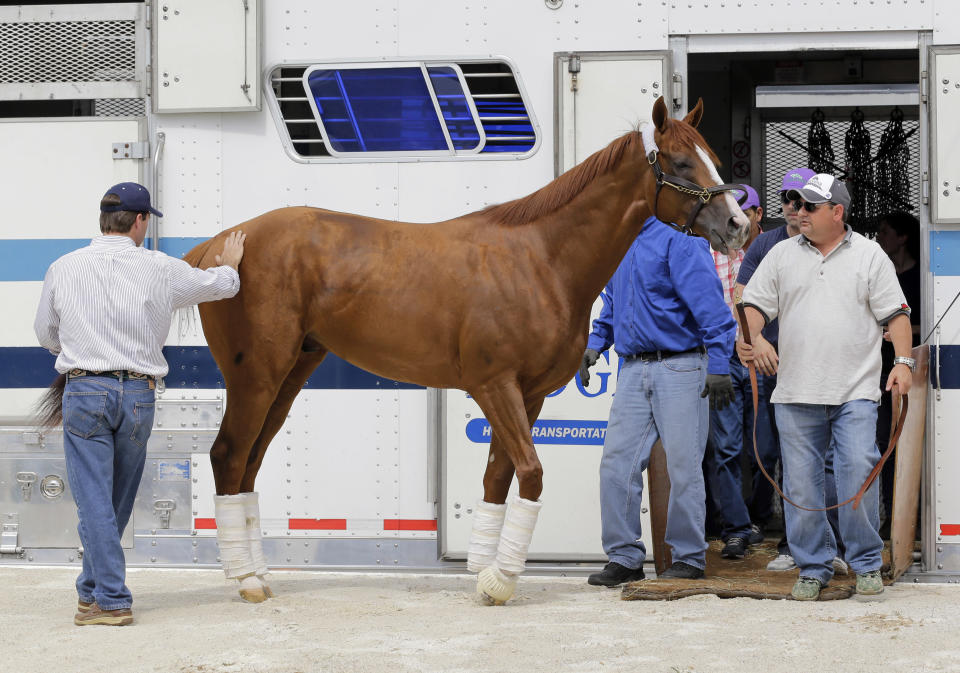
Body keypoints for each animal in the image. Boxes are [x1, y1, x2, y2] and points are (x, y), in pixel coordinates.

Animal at [182, 96, 752, 604]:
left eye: (711, 158)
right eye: (680, 161)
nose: (738, 227)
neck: (540, 259)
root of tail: (220, 246)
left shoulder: (529, 394)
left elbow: (499, 476)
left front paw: (486, 572)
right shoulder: (494, 385)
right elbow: (530, 473)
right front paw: (500, 582)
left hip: (289, 376)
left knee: (250, 462)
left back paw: (257, 573)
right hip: (257, 376)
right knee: (228, 455)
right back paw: (247, 580)